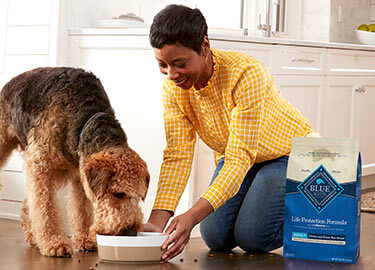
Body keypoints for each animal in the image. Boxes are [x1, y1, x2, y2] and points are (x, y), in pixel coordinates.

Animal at [0, 66, 150, 256]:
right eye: (118, 193)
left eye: (139, 196)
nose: (130, 231)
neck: (83, 119)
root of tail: (8, 83)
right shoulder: (41, 166)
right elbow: (45, 209)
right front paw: (55, 243)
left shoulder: (80, 175)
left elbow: (82, 211)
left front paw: (85, 239)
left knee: (28, 203)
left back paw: (33, 236)